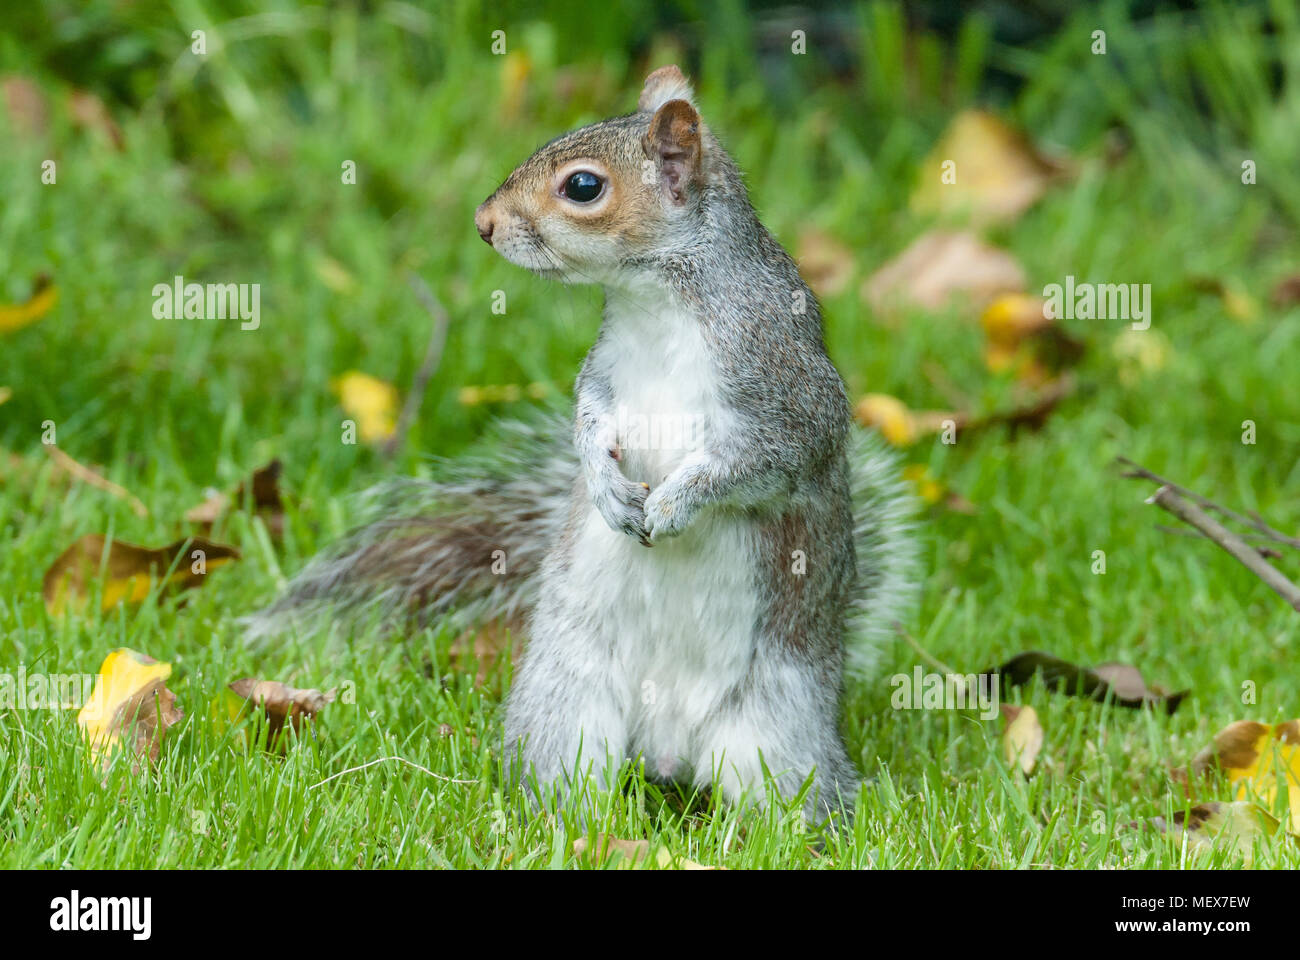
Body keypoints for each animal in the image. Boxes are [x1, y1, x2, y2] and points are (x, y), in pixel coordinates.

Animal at [247, 66, 917, 822]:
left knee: (782, 798)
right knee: (569, 775)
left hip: (776, 735)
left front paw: (675, 503)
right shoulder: (606, 371)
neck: (658, 299)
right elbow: (589, 420)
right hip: (565, 702)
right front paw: (603, 485)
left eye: (584, 187)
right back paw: (561, 820)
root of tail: (669, 751)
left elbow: (760, 462)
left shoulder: (787, 392)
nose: (483, 224)